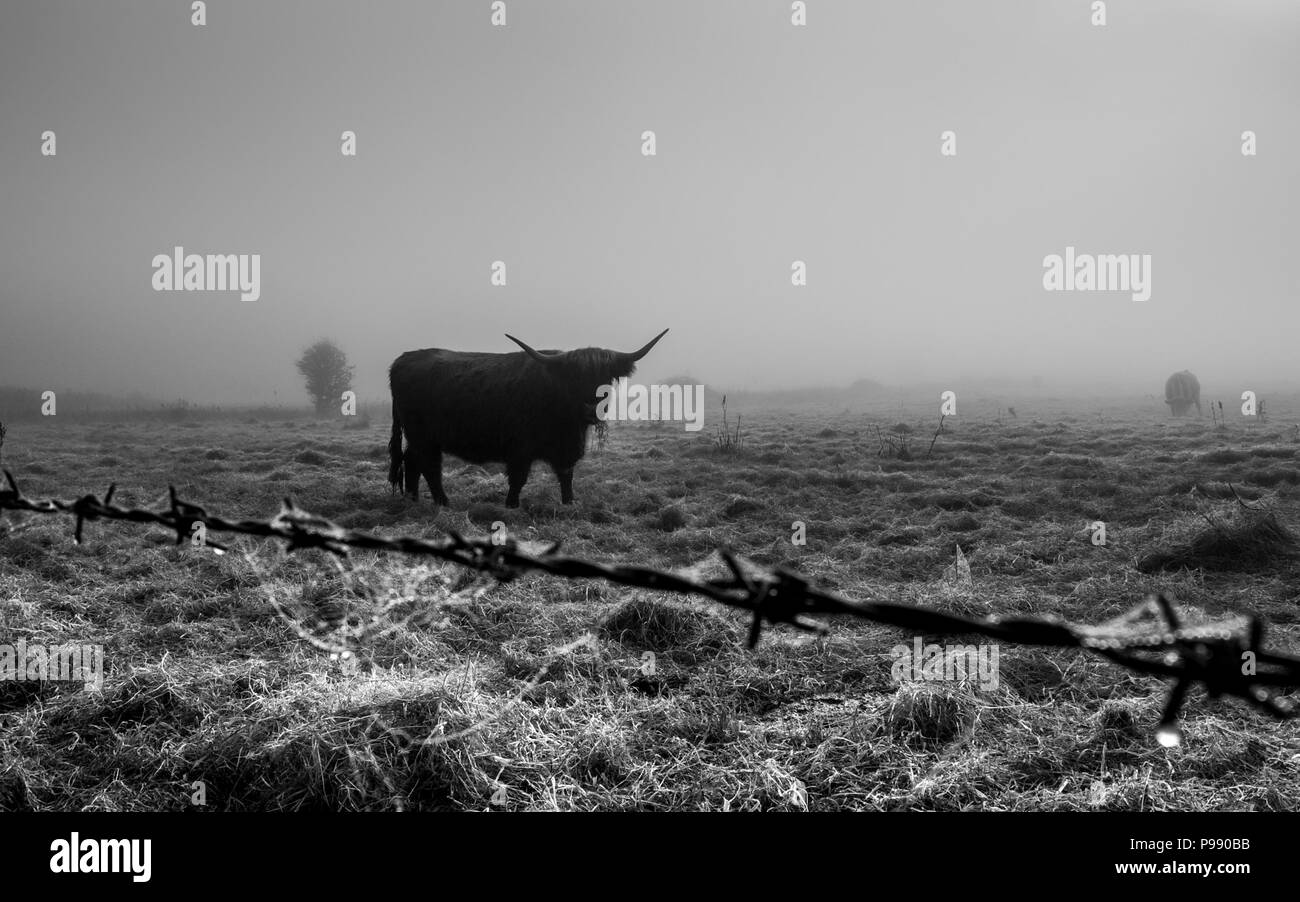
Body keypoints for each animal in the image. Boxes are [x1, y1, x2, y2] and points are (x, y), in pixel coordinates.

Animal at [388, 329, 669, 508]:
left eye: (605, 378)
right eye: (573, 378)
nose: (591, 408)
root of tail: (403, 359)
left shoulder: (566, 449)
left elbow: (566, 476)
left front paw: (569, 502)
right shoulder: (520, 450)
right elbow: (519, 478)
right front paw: (511, 505)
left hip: (420, 438)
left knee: (412, 462)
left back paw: (412, 500)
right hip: (424, 437)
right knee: (429, 467)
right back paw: (443, 503)